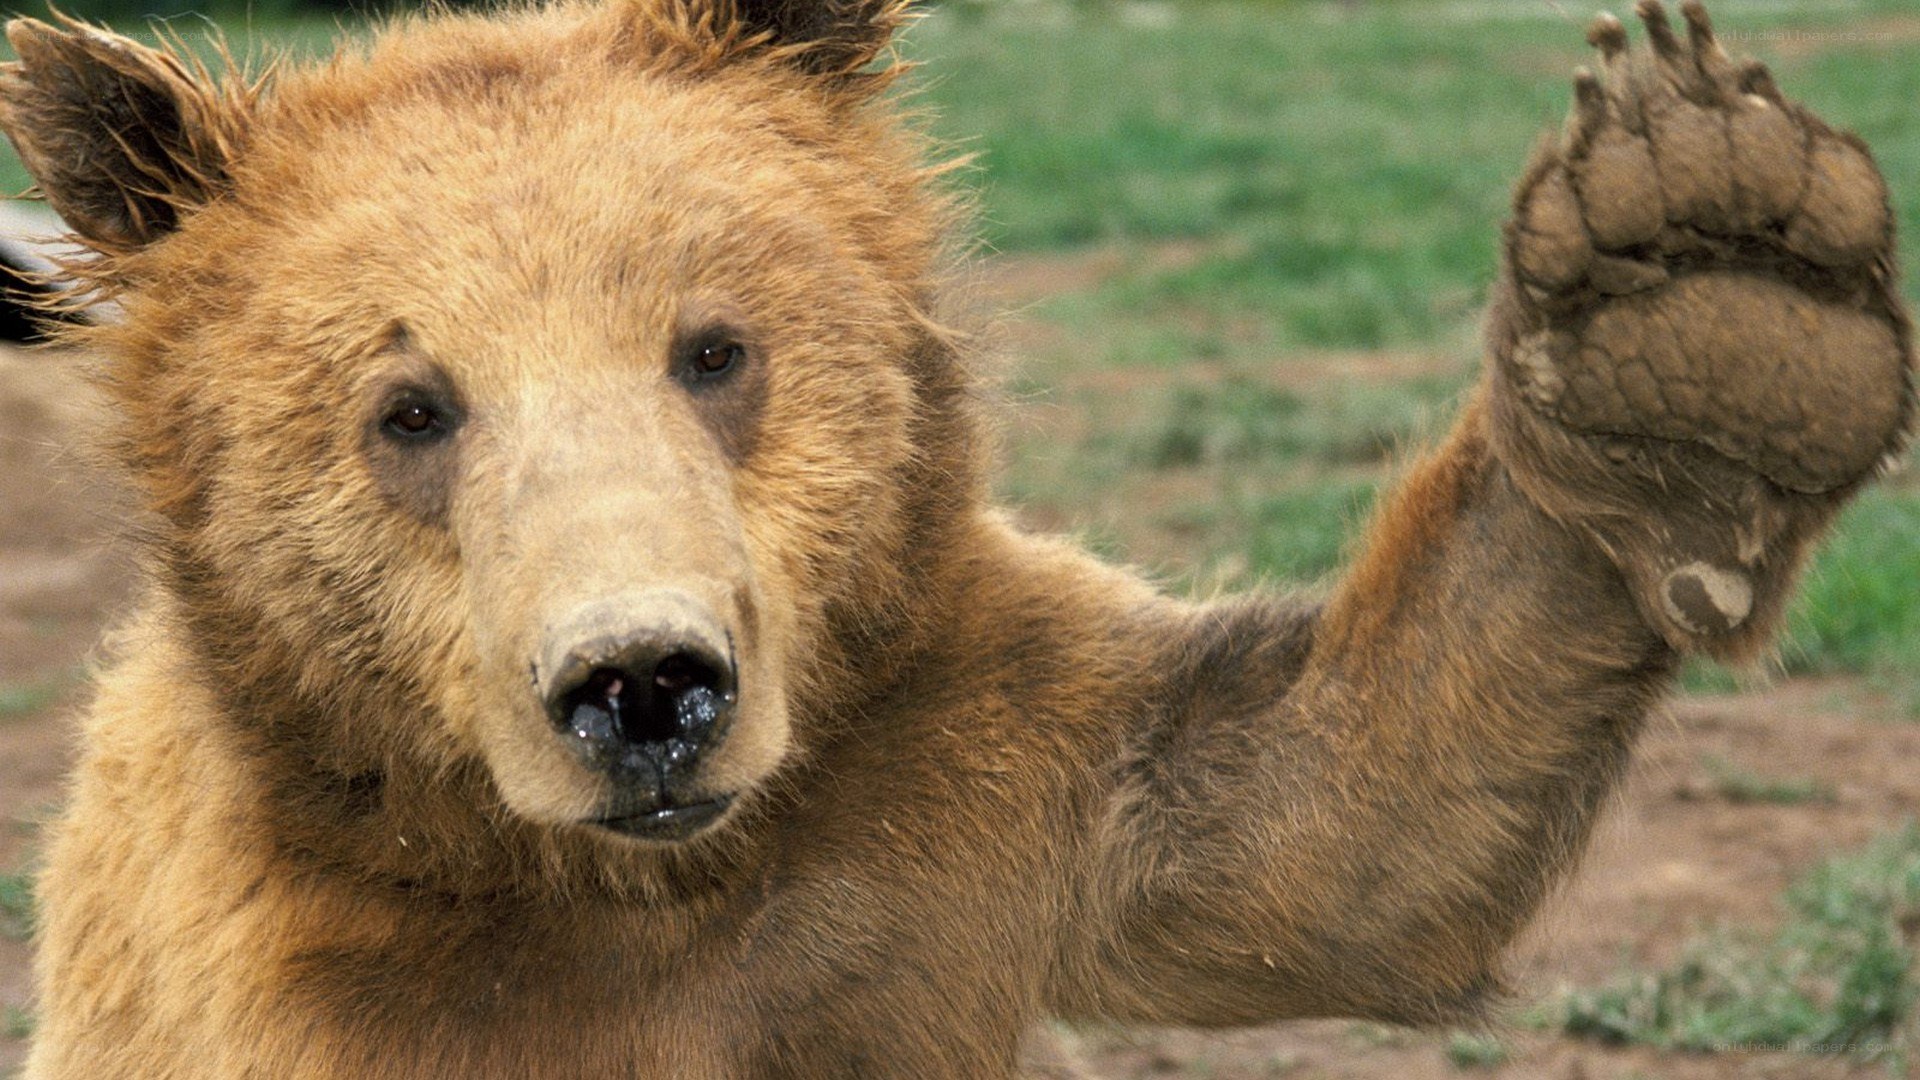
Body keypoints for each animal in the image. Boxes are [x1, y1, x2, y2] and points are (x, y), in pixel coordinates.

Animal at [0, 0, 1910, 1075]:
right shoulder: (320, 982)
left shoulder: (949, 782)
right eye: (411, 407)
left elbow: (1334, 832)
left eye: (715, 347)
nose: (644, 685)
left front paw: (1706, 302)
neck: (626, 891)